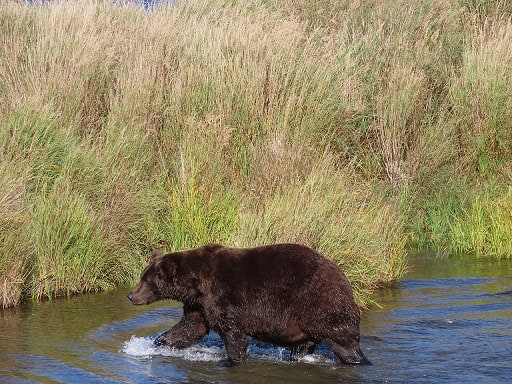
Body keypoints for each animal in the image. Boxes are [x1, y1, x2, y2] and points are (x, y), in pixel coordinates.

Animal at [126, 244, 370, 364]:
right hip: (307, 323)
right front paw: (154, 343)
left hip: (323, 304)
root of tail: (344, 278)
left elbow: (233, 332)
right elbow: (189, 328)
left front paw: (234, 359)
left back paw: (358, 359)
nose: (130, 295)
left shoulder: (225, 297)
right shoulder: (199, 305)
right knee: (304, 345)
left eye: (145, 280)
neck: (196, 284)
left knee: (345, 343)